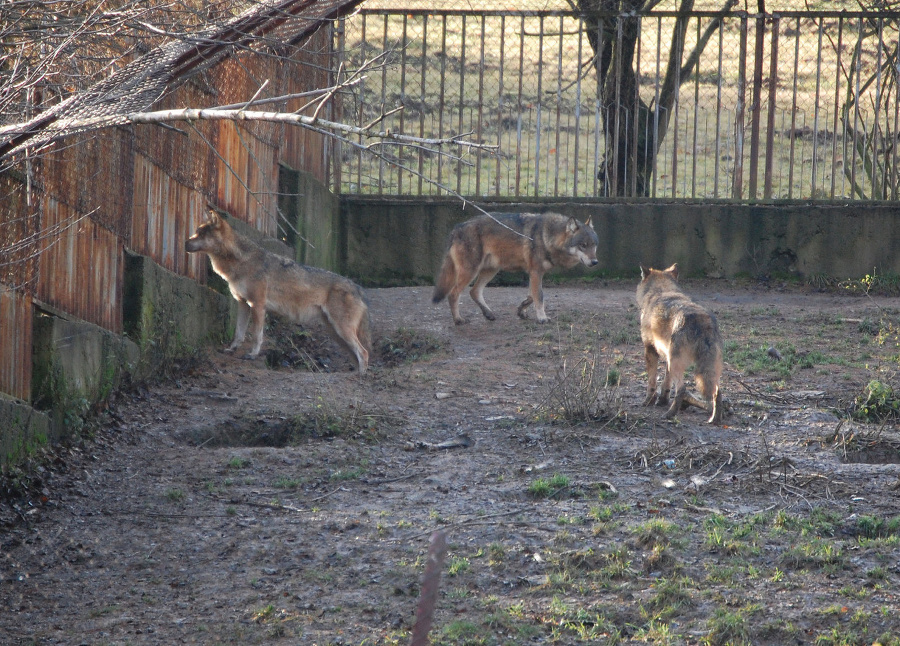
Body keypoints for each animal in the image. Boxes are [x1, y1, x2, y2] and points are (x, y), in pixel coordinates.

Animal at [185, 213, 370, 374]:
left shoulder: (257, 305)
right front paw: (231, 349)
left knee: (364, 353)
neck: (240, 261)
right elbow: (239, 333)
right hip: (335, 332)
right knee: (358, 354)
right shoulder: (243, 303)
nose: (185, 243)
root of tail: (358, 288)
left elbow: (256, 335)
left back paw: (361, 376)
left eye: (200, 234)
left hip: (341, 329)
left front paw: (252, 355)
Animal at [430, 213, 596, 324]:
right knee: (453, 294)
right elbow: (539, 296)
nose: (595, 262)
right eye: (583, 245)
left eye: (594, 245)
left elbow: (531, 296)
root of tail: (456, 228)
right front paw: (542, 318)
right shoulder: (535, 272)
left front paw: (522, 310)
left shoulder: (534, 273)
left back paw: (488, 314)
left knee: (474, 291)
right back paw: (458, 320)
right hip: (471, 272)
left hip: (491, 270)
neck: (548, 237)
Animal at [632, 264, 724, 426]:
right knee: (717, 393)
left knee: (682, 389)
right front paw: (662, 400)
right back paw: (714, 420)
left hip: (678, 364)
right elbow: (666, 384)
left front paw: (648, 402)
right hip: (708, 370)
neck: (661, 291)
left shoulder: (650, 350)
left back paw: (670, 415)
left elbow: (652, 383)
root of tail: (702, 321)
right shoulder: (667, 358)